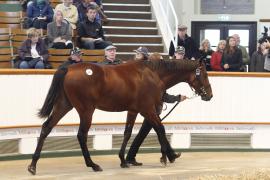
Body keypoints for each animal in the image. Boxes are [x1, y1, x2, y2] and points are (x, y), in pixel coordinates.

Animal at [28, 58, 213, 174]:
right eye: (204, 74)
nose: (209, 95)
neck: (153, 75)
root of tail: (68, 68)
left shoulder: (133, 110)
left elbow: (128, 133)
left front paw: (124, 160)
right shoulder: (148, 110)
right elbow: (160, 128)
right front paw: (167, 157)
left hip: (64, 106)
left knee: (46, 128)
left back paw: (33, 165)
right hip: (86, 111)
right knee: (81, 135)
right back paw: (93, 165)